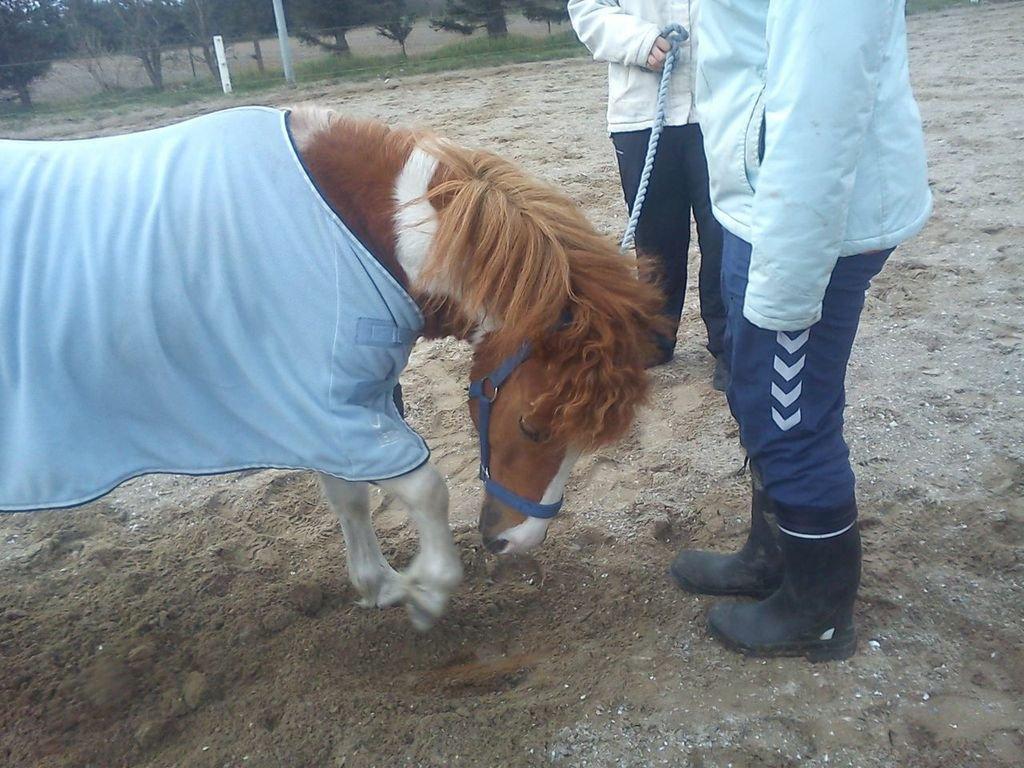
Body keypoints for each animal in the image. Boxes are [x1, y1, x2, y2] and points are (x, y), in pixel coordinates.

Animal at [288, 103, 659, 630]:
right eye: (532, 428)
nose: (514, 543)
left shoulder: (329, 407)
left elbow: (349, 495)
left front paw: (378, 583)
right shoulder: (325, 404)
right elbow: (424, 488)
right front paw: (427, 589)